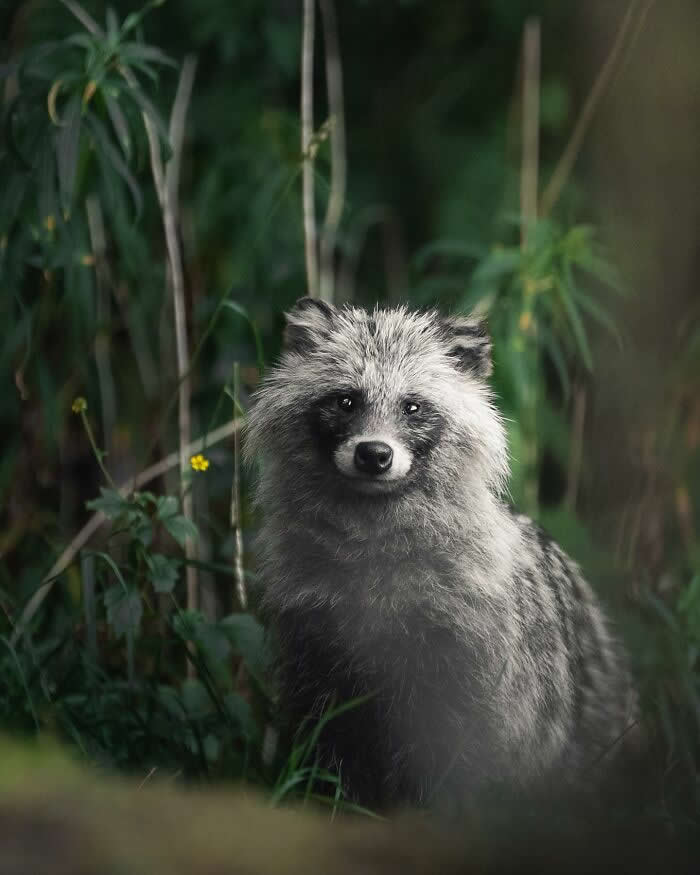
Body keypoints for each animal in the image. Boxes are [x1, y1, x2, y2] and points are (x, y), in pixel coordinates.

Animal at [246, 297, 637, 811]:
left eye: (413, 406)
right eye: (346, 400)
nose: (374, 455)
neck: (372, 525)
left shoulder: (470, 647)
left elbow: (462, 753)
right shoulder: (314, 636)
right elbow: (327, 737)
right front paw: (335, 799)